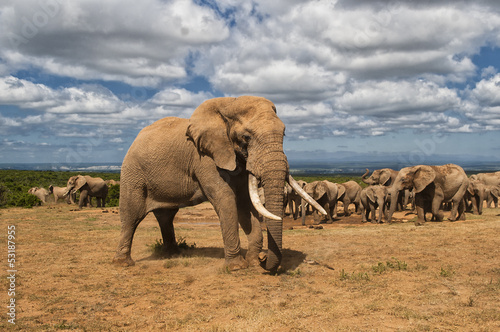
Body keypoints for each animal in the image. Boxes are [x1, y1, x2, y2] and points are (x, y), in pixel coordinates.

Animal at [111, 96, 326, 272]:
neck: (229, 104)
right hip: (133, 173)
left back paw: (173, 254)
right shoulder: (205, 157)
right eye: (246, 137)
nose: (264, 259)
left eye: (284, 134)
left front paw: (253, 262)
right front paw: (238, 267)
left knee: (166, 216)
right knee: (132, 215)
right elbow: (226, 198)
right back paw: (123, 263)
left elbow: (246, 203)